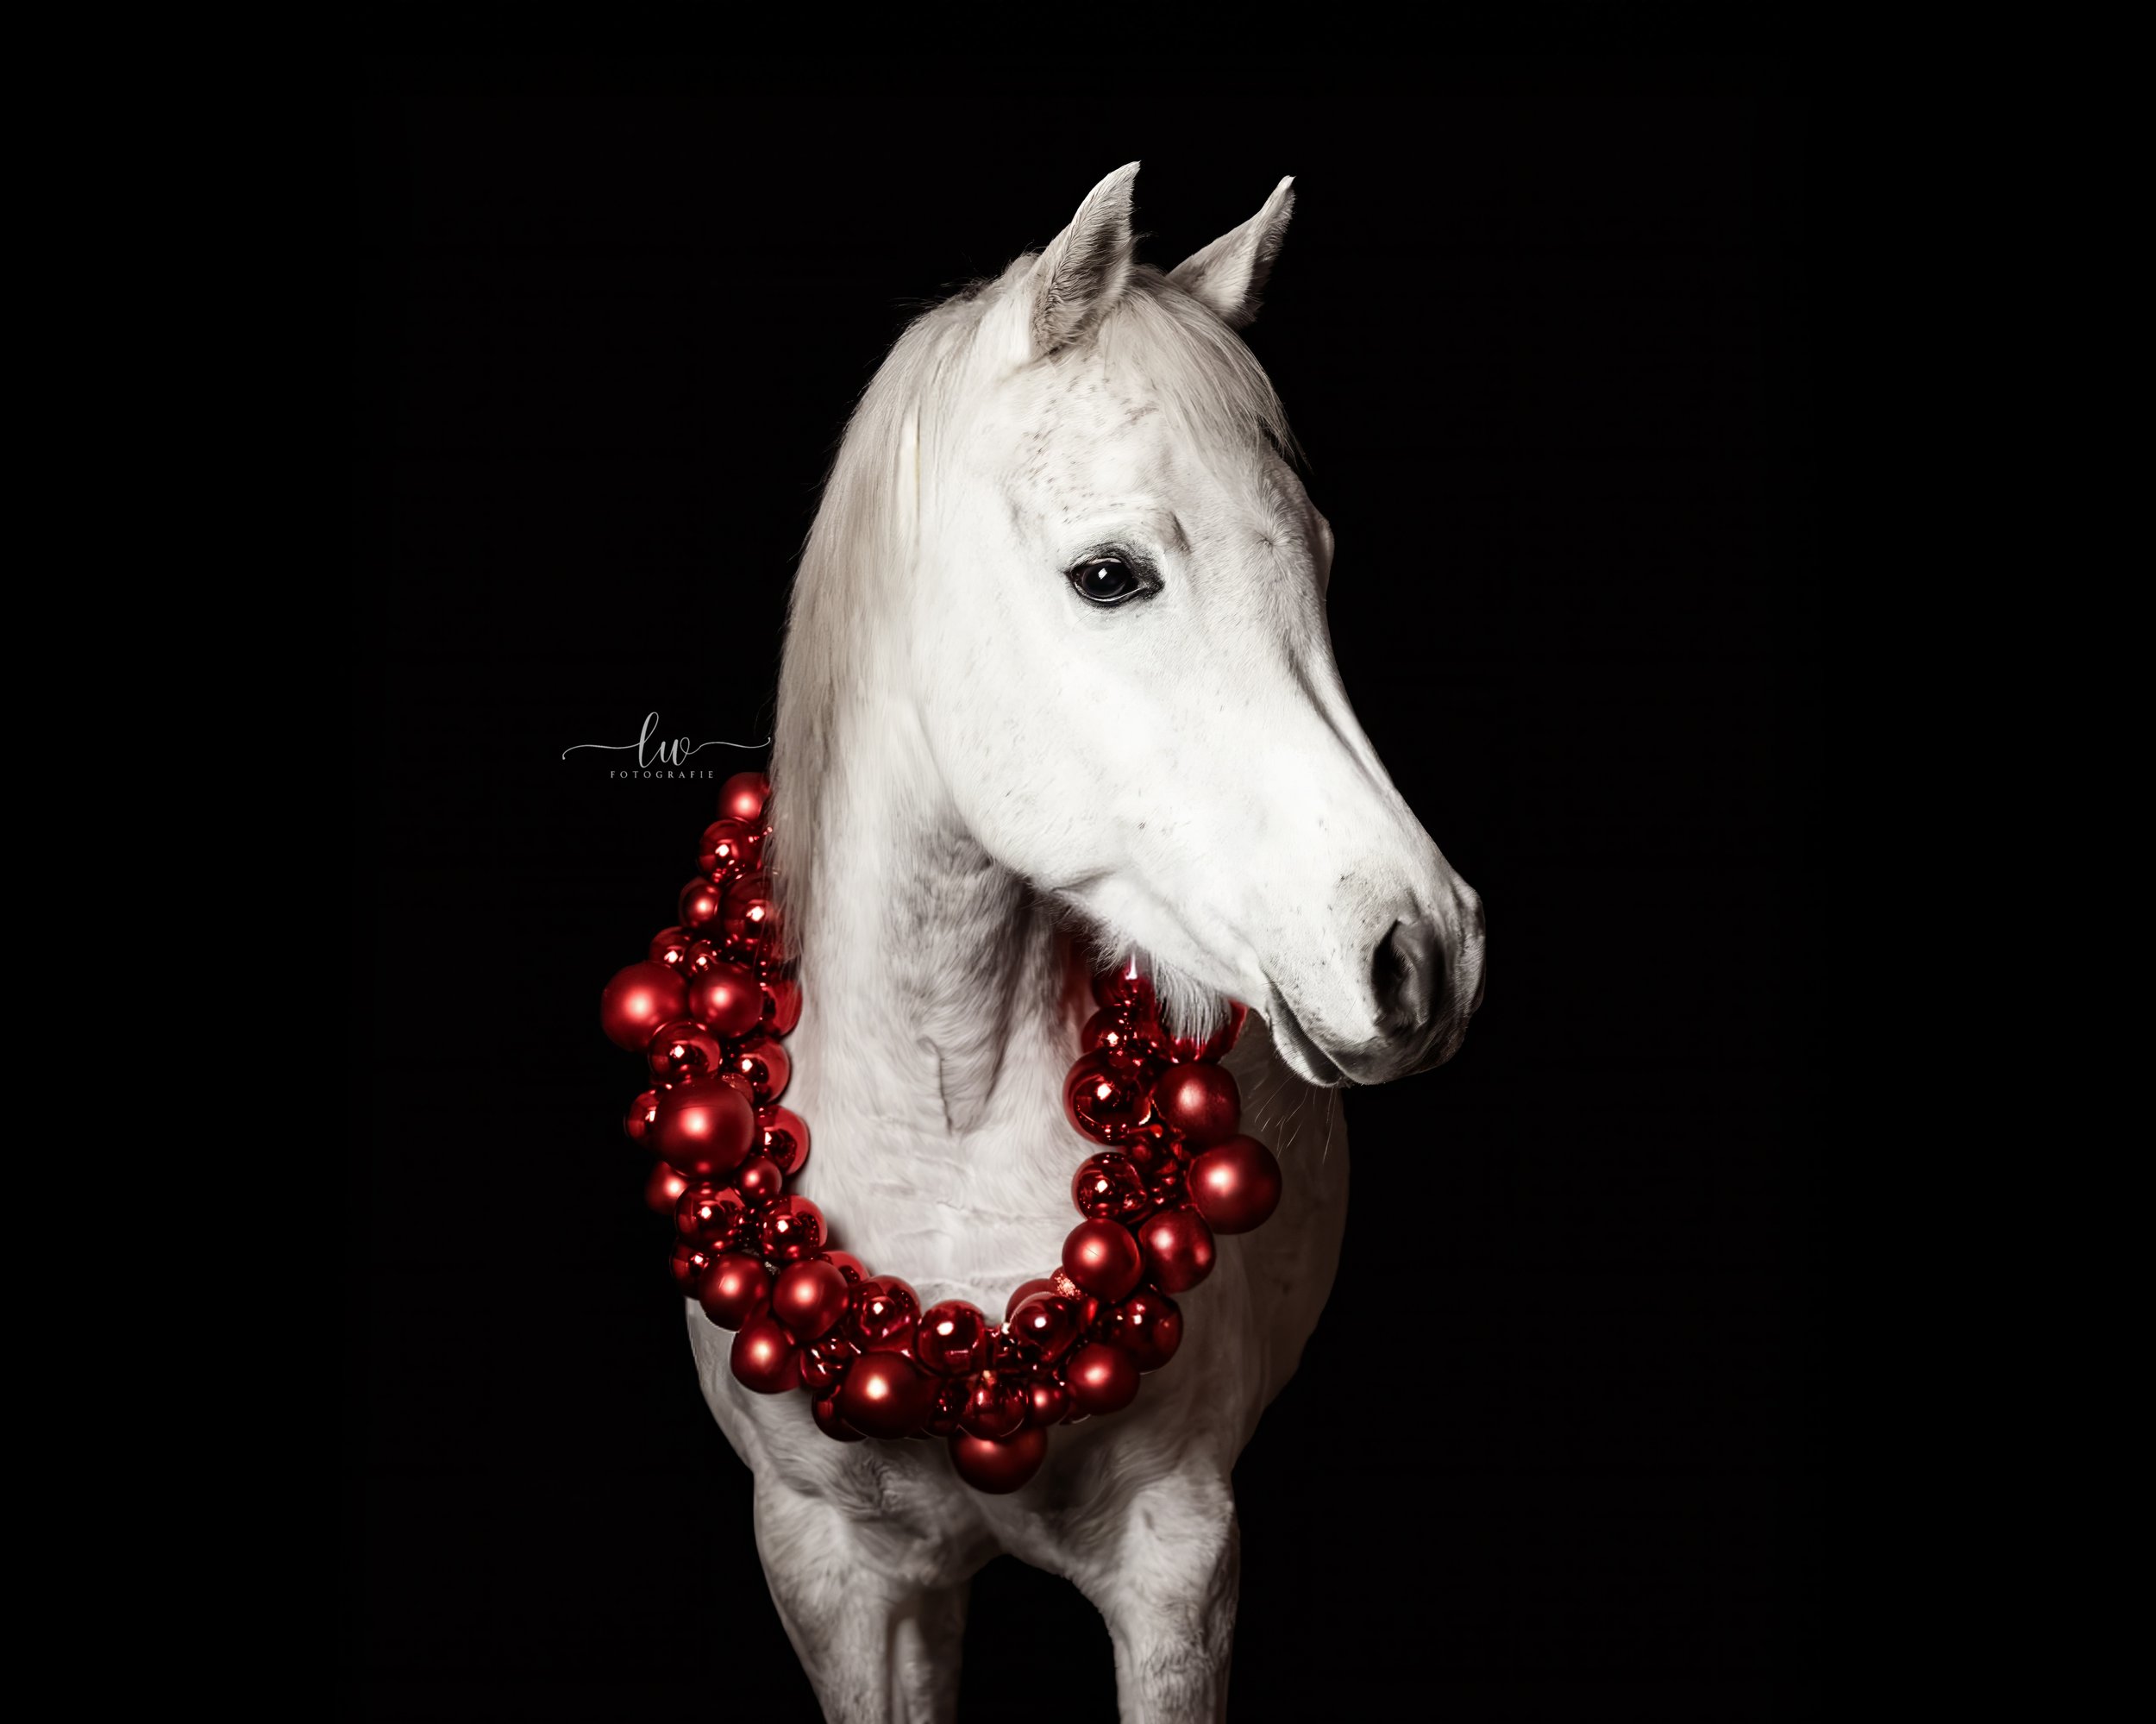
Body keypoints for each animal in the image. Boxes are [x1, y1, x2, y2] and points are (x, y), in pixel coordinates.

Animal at [687, 162, 1485, 1723]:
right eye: (1110, 574)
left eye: (1318, 560)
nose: (1422, 950)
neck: (941, 1113)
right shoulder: (835, 1576)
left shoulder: (1178, 1563)